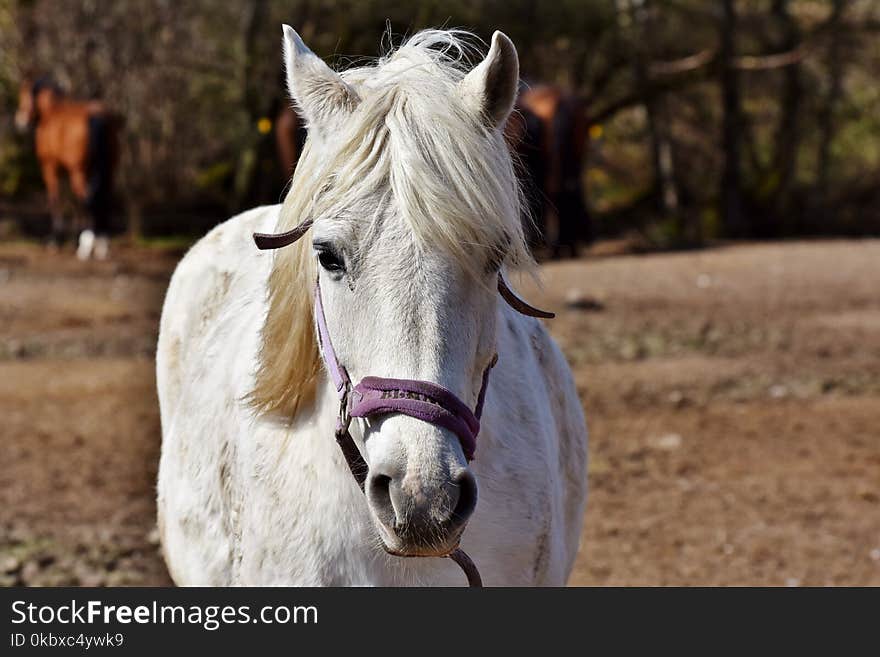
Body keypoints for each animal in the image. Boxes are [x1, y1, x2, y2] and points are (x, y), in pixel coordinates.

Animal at [14, 76, 121, 258]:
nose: (20, 121)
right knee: (104, 198)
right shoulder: (65, 170)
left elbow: (56, 198)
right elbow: (71, 201)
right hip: (108, 170)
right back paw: (101, 244)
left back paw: (86, 245)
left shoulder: (49, 167)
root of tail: (97, 115)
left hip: (79, 171)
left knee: (86, 198)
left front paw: (56, 240)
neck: (50, 113)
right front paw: (74, 237)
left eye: (23, 96)